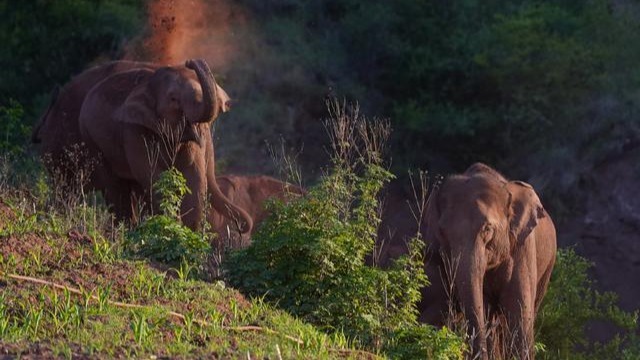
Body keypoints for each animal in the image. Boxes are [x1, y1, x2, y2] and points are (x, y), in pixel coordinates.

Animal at [62, 58, 251, 233]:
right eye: (173, 99)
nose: (190, 61)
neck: (149, 82)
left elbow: (193, 175)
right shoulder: (134, 130)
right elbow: (152, 175)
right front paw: (171, 227)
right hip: (92, 140)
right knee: (115, 186)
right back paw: (125, 230)